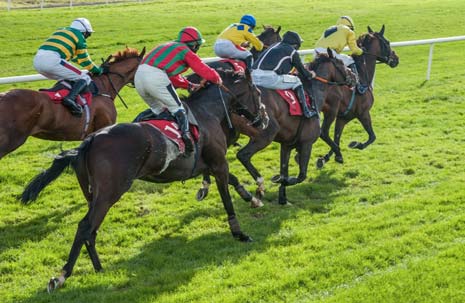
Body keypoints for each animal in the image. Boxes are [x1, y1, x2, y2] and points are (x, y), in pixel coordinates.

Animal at [21, 68, 266, 292]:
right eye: (257, 92)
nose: (263, 120)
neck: (207, 112)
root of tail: (89, 140)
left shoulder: (210, 165)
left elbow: (233, 180)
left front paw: (253, 198)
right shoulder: (219, 164)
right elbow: (227, 198)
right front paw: (240, 233)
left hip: (93, 195)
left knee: (91, 230)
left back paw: (99, 268)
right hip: (110, 193)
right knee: (85, 227)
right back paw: (62, 276)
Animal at [196, 51, 352, 205]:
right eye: (341, 63)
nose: (353, 77)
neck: (312, 94)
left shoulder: (286, 145)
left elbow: (285, 169)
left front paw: (282, 197)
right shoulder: (307, 142)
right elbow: (301, 175)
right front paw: (280, 180)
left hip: (228, 136)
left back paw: (207, 186)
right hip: (266, 133)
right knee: (242, 155)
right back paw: (258, 185)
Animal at [316, 25, 398, 169]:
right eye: (387, 42)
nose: (396, 59)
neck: (361, 73)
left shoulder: (343, 117)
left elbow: (337, 138)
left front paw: (327, 157)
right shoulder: (363, 113)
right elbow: (372, 136)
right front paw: (355, 144)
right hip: (330, 112)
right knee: (323, 132)